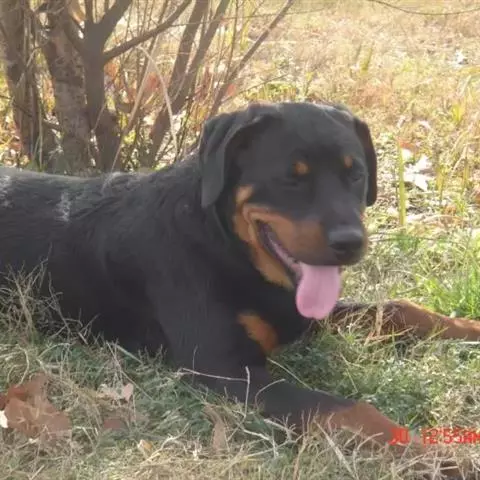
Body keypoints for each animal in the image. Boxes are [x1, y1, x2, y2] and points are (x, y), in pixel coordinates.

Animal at [0, 102, 479, 477]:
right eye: (292, 178)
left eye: (356, 174)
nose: (350, 242)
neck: (224, 244)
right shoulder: (226, 370)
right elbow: (348, 408)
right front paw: (433, 455)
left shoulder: (300, 314)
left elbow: (400, 308)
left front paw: (468, 327)